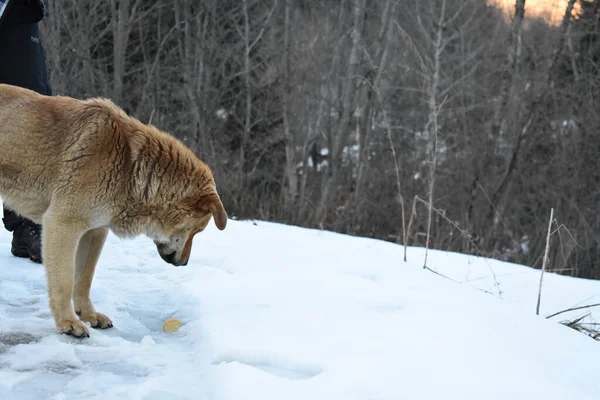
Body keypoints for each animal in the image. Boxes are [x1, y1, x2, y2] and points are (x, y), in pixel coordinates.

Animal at [0, 83, 227, 338]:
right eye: (197, 231)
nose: (185, 263)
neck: (130, 166)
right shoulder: (63, 225)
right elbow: (65, 280)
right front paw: (68, 321)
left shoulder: (95, 232)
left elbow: (84, 278)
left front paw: (88, 315)